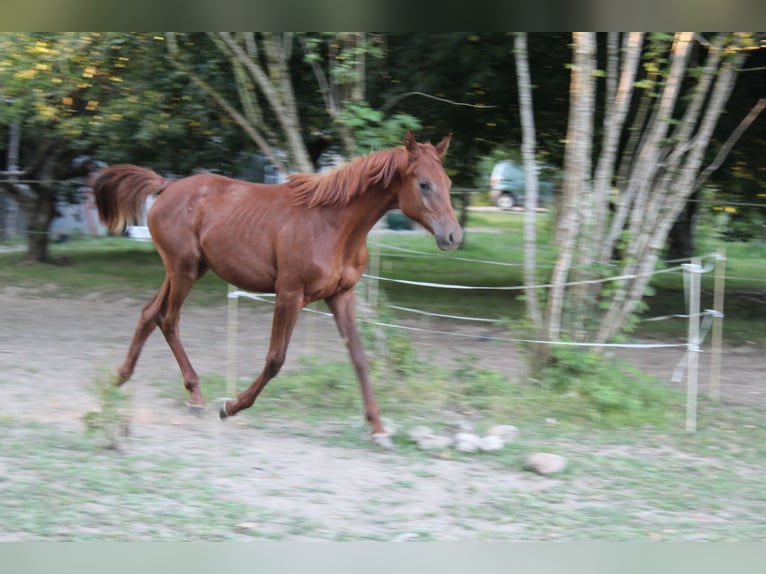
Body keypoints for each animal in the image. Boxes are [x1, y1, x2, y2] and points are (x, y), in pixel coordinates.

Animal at [93, 131, 463, 444]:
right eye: (424, 184)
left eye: (447, 181)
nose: (454, 236)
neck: (334, 224)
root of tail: (167, 187)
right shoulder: (289, 294)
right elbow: (275, 359)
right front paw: (230, 407)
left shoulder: (340, 295)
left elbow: (359, 357)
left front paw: (378, 428)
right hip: (182, 270)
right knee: (168, 320)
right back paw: (195, 398)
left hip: (188, 270)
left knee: (149, 314)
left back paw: (119, 382)